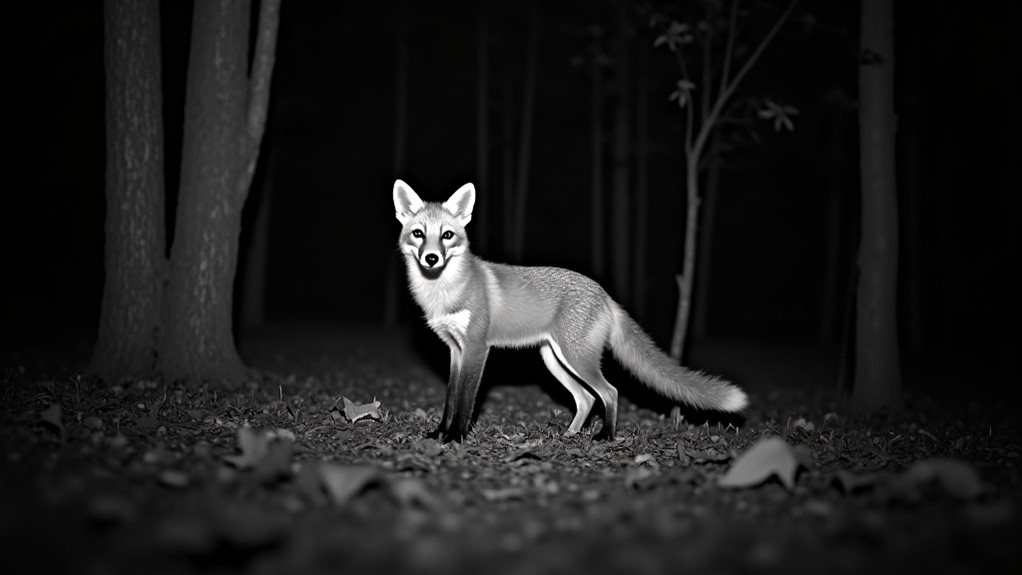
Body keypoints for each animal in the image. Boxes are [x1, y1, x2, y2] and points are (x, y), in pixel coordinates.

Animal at [393, 179, 748, 442]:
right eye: (419, 234)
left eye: (447, 235)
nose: (431, 259)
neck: (445, 292)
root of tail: (606, 295)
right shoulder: (455, 349)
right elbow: (450, 399)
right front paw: (439, 433)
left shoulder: (477, 348)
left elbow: (465, 401)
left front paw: (455, 437)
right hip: (554, 359)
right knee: (586, 398)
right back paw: (571, 434)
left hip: (576, 357)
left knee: (610, 392)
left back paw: (605, 436)